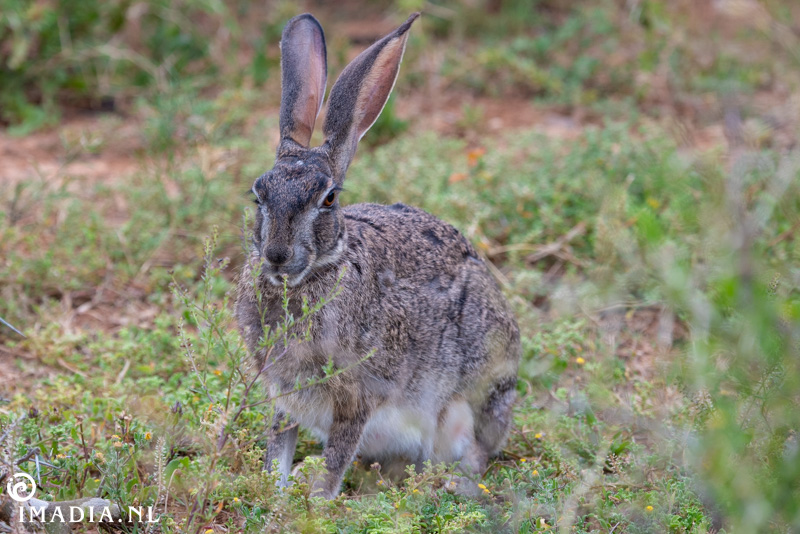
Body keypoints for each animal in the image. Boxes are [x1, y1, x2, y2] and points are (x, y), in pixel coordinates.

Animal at [235, 12, 521, 499]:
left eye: (329, 199)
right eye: (259, 194)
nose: (275, 255)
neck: (318, 271)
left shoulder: (357, 394)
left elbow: (338, 453)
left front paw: (317, 501)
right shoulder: (284, 392)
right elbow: (279, 442)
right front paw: (277, 490)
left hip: (469, 399)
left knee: (478, 452)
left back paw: (448, 486)